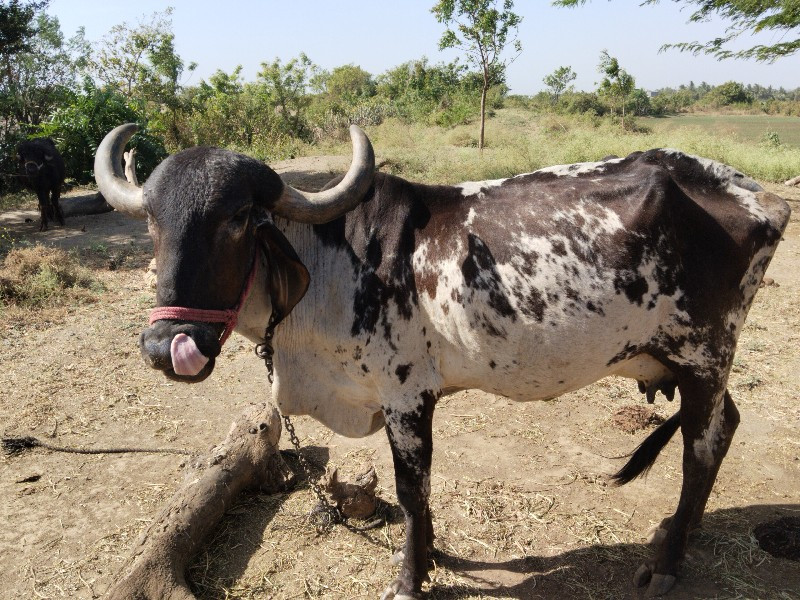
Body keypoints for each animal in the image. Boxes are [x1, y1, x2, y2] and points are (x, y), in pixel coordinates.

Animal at [94, 124, 788, 596]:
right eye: (152, 220)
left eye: (238, 218)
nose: (167, 346)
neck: (332, 264)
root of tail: (758, 195)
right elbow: (417, 495)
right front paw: (428, 558)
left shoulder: (406, 397)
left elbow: (412, 489)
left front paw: (410, 575)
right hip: (692, 363)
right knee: (725, 425)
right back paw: (673, 535)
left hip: (703, 354)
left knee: (703, 445)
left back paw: (666, 564)